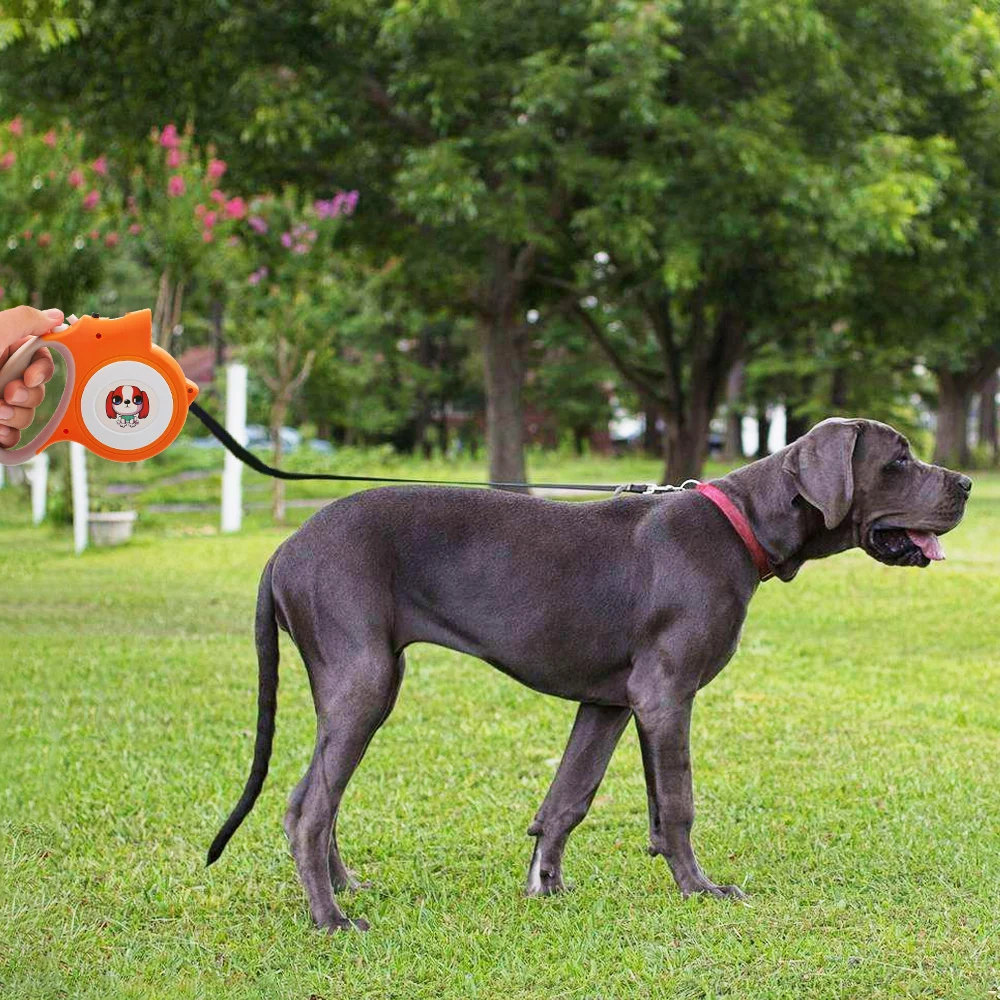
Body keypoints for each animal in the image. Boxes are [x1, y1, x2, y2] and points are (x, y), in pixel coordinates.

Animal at [209, 416, 968, 928]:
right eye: (900, 458)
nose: (964, 483)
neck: (742, 525)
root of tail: (283, 551)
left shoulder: (610, 702)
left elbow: (569, 798)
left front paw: (546, 885)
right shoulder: (664, 695)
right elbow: (678, 803)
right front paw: (700, 889)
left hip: (351, 686)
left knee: (322, 797)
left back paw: (343, 887)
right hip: (365, 682)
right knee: (306, 807)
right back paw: (330, 918)